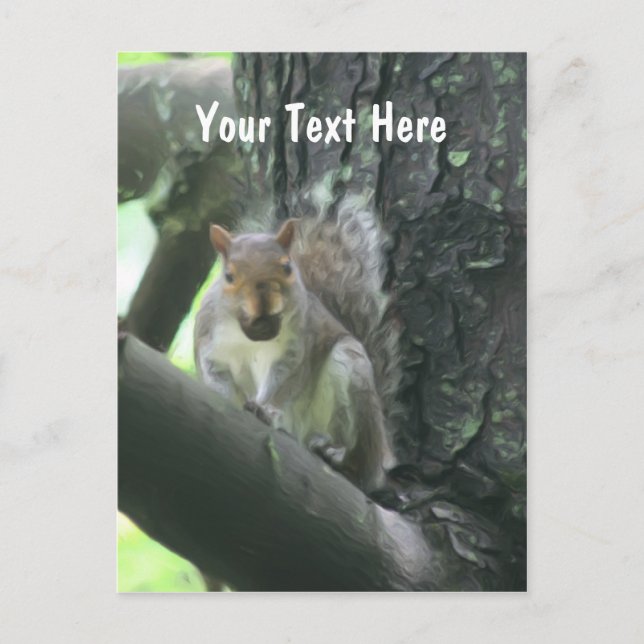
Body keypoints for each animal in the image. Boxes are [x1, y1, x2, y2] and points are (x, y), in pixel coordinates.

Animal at [194, 200, 399, 492]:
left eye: (287, 267)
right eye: (229, 276)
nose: (264, 310)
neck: (250, 337)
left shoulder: (296, 350)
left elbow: (285, 382)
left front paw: (265, 409)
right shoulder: (209, 344)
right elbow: (215, 375)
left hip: (352, 369)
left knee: (363, 465)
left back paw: (340, 456)